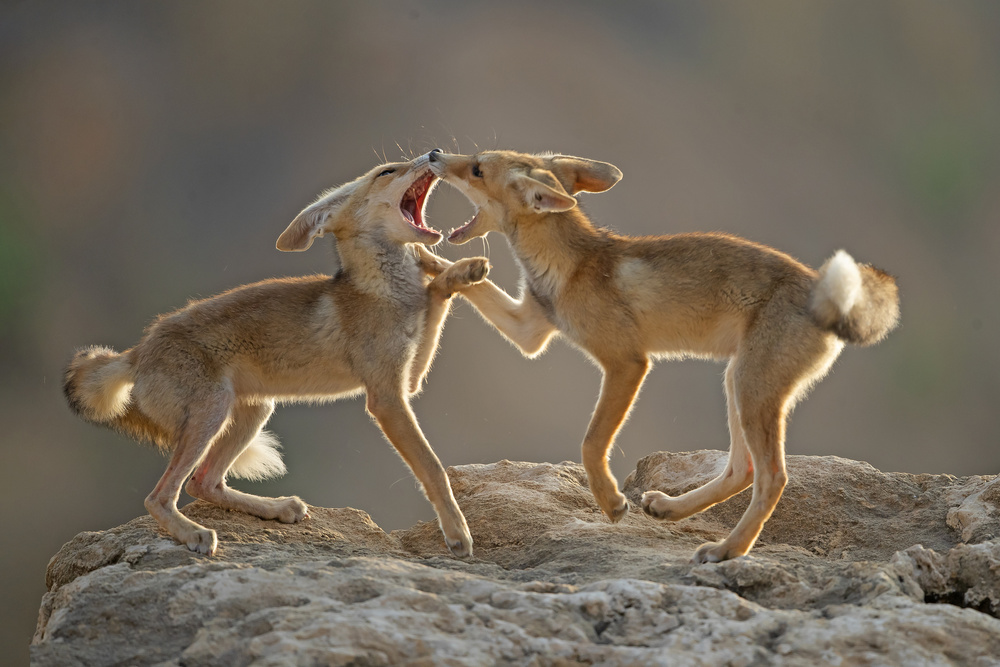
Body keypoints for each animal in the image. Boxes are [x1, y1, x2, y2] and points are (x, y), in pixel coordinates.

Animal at [63, 150, 487, 557]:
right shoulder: (386, 397)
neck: (384, 292)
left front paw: (462, 270)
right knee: (160, 497)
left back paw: (276, 508)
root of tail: (137, 350)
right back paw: (194, 533)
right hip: (212, 410)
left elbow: (437, 292)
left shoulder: (409, 377)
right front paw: (457, 534)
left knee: (205, 483)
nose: (433, 152)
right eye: (387, 171)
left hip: (254, 410)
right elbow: (433, 469)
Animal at [424, 149, 900, 563]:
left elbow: (591, 443)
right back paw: (674, 510)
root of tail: (820, 288)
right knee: (741, 470)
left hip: (751, 390)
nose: (433, 154)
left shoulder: (627, 363)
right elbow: (471, 286)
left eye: (477, 168)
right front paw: (442, 267)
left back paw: (728, 551)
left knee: (771, 478)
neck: (571, 267)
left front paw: (610, 501)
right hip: (737, 384)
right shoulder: (531, 331)